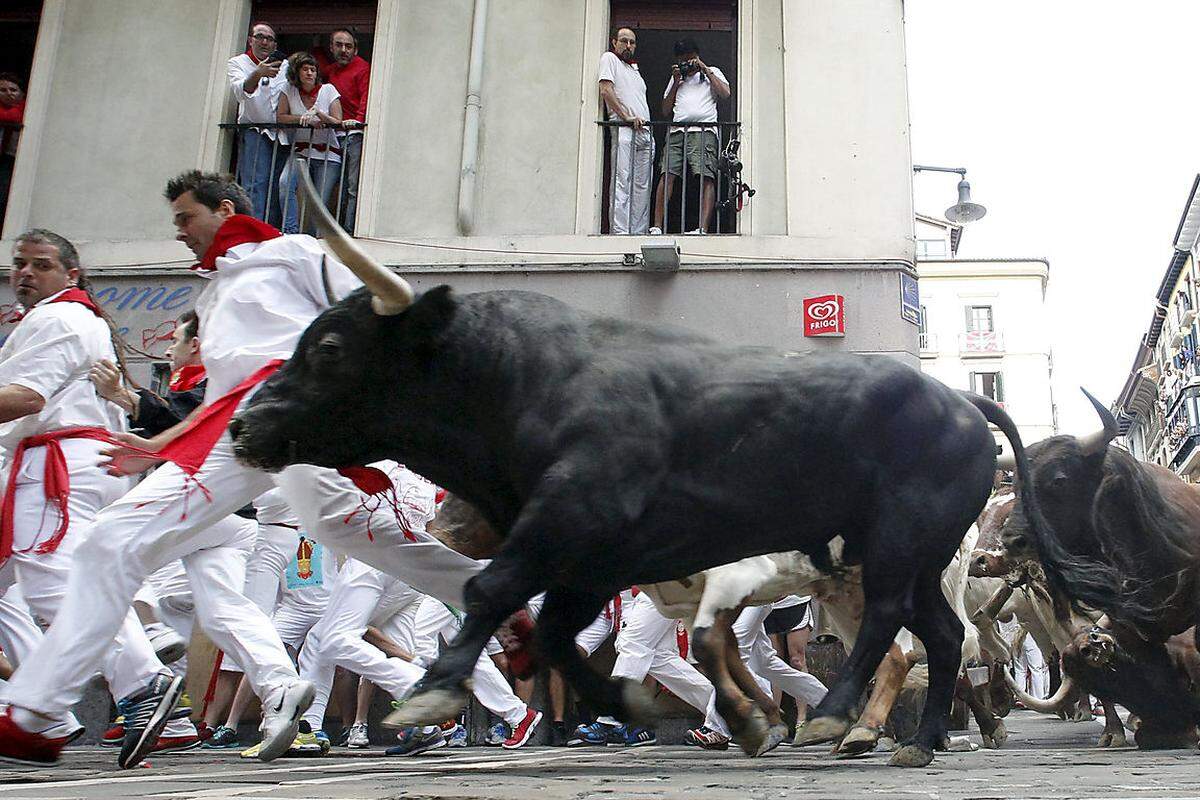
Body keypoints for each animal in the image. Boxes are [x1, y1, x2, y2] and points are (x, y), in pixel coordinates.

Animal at [231, 284, 1041, 767]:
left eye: (329, 347)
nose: (243, 423)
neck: (523, 375)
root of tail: (961, 401)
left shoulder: (578, 526)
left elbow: (496, 593)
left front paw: (435, 690)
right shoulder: (599, 566)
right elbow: (571, 640)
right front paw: (716, 716)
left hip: (900, 544)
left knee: (895, 628)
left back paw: (841, 720)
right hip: (909, 559)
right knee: (940, 638)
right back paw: (917, 741)